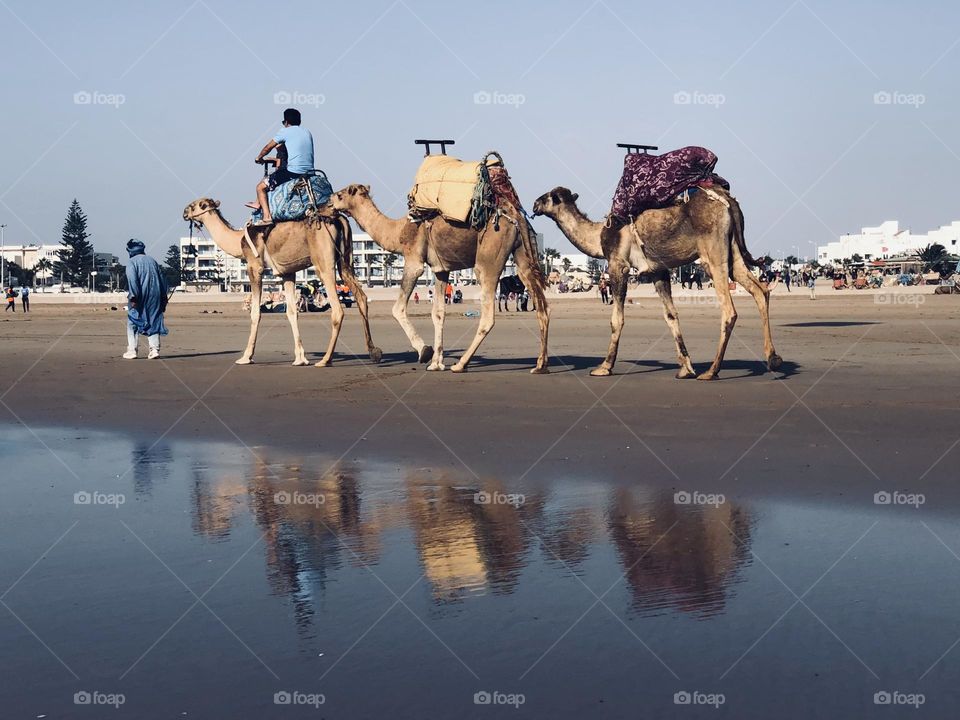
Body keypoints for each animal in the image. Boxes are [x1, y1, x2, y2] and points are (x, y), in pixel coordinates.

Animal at [182, 200, 380, 368]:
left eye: (196, 205)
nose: (184, 213)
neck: (239, 241)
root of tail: (338, 218)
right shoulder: (288, 273)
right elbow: (292, 312)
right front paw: (300, 359)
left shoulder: (254, 267)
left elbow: (255, 312)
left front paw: (246, 357)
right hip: (345, 261)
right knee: (361, 298)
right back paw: (374, 352)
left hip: (323, 263)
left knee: (337, 309)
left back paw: (325, 359)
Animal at [328, 183, 548, 374]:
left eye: (340, 195)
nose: (327, 204)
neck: (398, 231)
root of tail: (515, 216)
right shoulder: (441, 270)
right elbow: (439, 313)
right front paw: (436, 363)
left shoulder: (414, 261)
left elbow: (397, 308)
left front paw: (425, 352)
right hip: (522, 254)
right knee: (542, 307)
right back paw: (540, 365)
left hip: (489, 256)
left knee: (488, 315)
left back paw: (460, 364)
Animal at [532, 186, 780, 380]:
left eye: (548, 196)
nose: (534, 205)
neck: (599, 235)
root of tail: (728, 201)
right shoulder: (658, 271)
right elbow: (671, 315)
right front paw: (685, 368)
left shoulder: (618, 266)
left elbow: (617, 319)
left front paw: (604, 367)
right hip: (733, 253)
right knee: (760, 290)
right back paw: (773, 359)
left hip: (713, 253)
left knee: (729, 310)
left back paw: (712, 371)